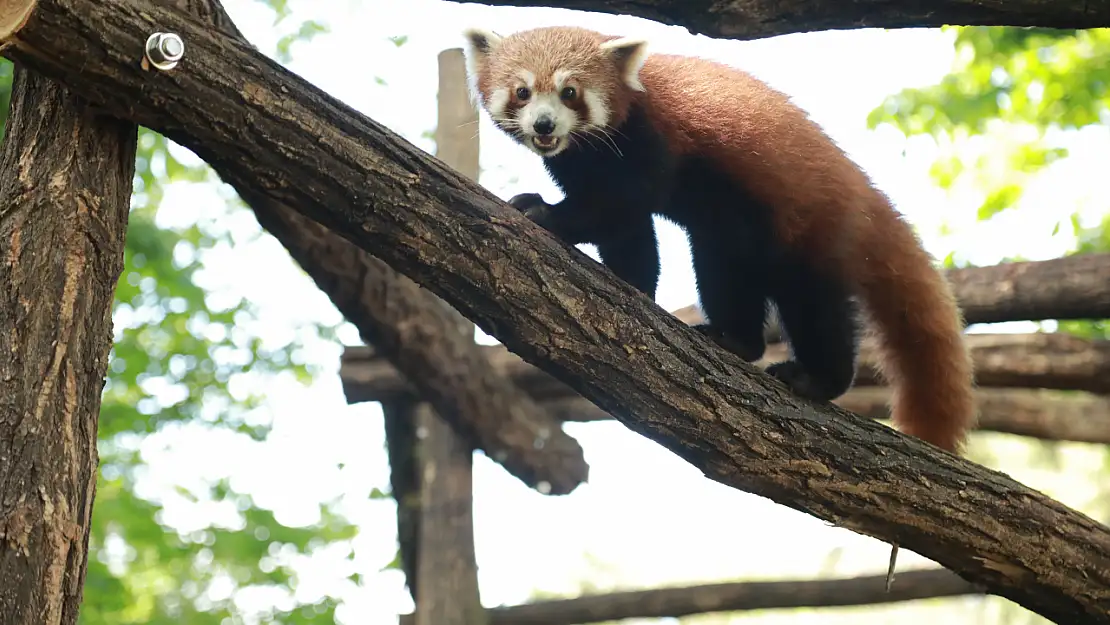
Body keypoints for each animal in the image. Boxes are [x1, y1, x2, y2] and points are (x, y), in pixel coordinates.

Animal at [463, 25, 976, 455]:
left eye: (570, 92)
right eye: (523, 91)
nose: (544, 125)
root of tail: (865, 193)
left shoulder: (651, 142)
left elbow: (615, 207)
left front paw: (544, 212)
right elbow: (629, 234)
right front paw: (631, 286)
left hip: (809, 229)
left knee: (814, 307)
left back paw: (816, 378)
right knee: (727, 272)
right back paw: (733, 339)